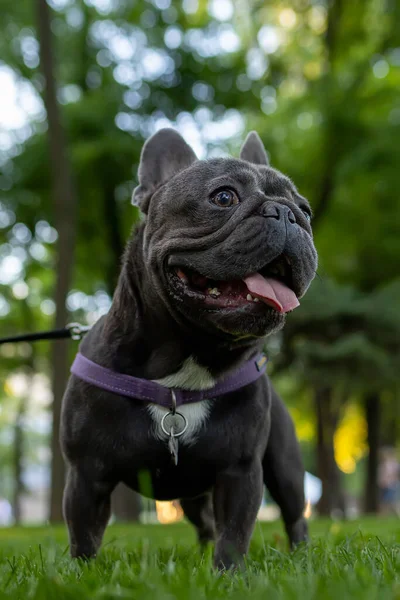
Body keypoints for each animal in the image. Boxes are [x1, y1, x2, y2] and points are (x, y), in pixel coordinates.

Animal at [61, 129, 318, 568]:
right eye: (223, 197)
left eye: (306, 211)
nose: (288, 214)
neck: (190, 359)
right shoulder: (86, 475)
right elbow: (84, 538)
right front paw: (80, 574)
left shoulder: (240, 471)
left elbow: (234, 534)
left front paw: (227, 574)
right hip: (192, 495)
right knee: (205, 523)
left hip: (284, 466)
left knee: (293, 513)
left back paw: (301, 556)